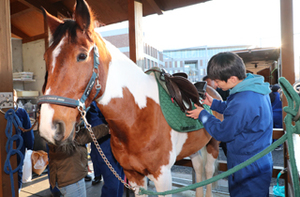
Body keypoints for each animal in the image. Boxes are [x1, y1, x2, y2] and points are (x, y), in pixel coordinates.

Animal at [38, 0, 223, 196]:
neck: (137, 117)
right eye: (46, 58)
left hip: (213, 144)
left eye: (82, 56)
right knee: (199, 168)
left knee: (208, 171)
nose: (48, 128)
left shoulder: (163, 177)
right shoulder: (134, 176)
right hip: (194, 147)